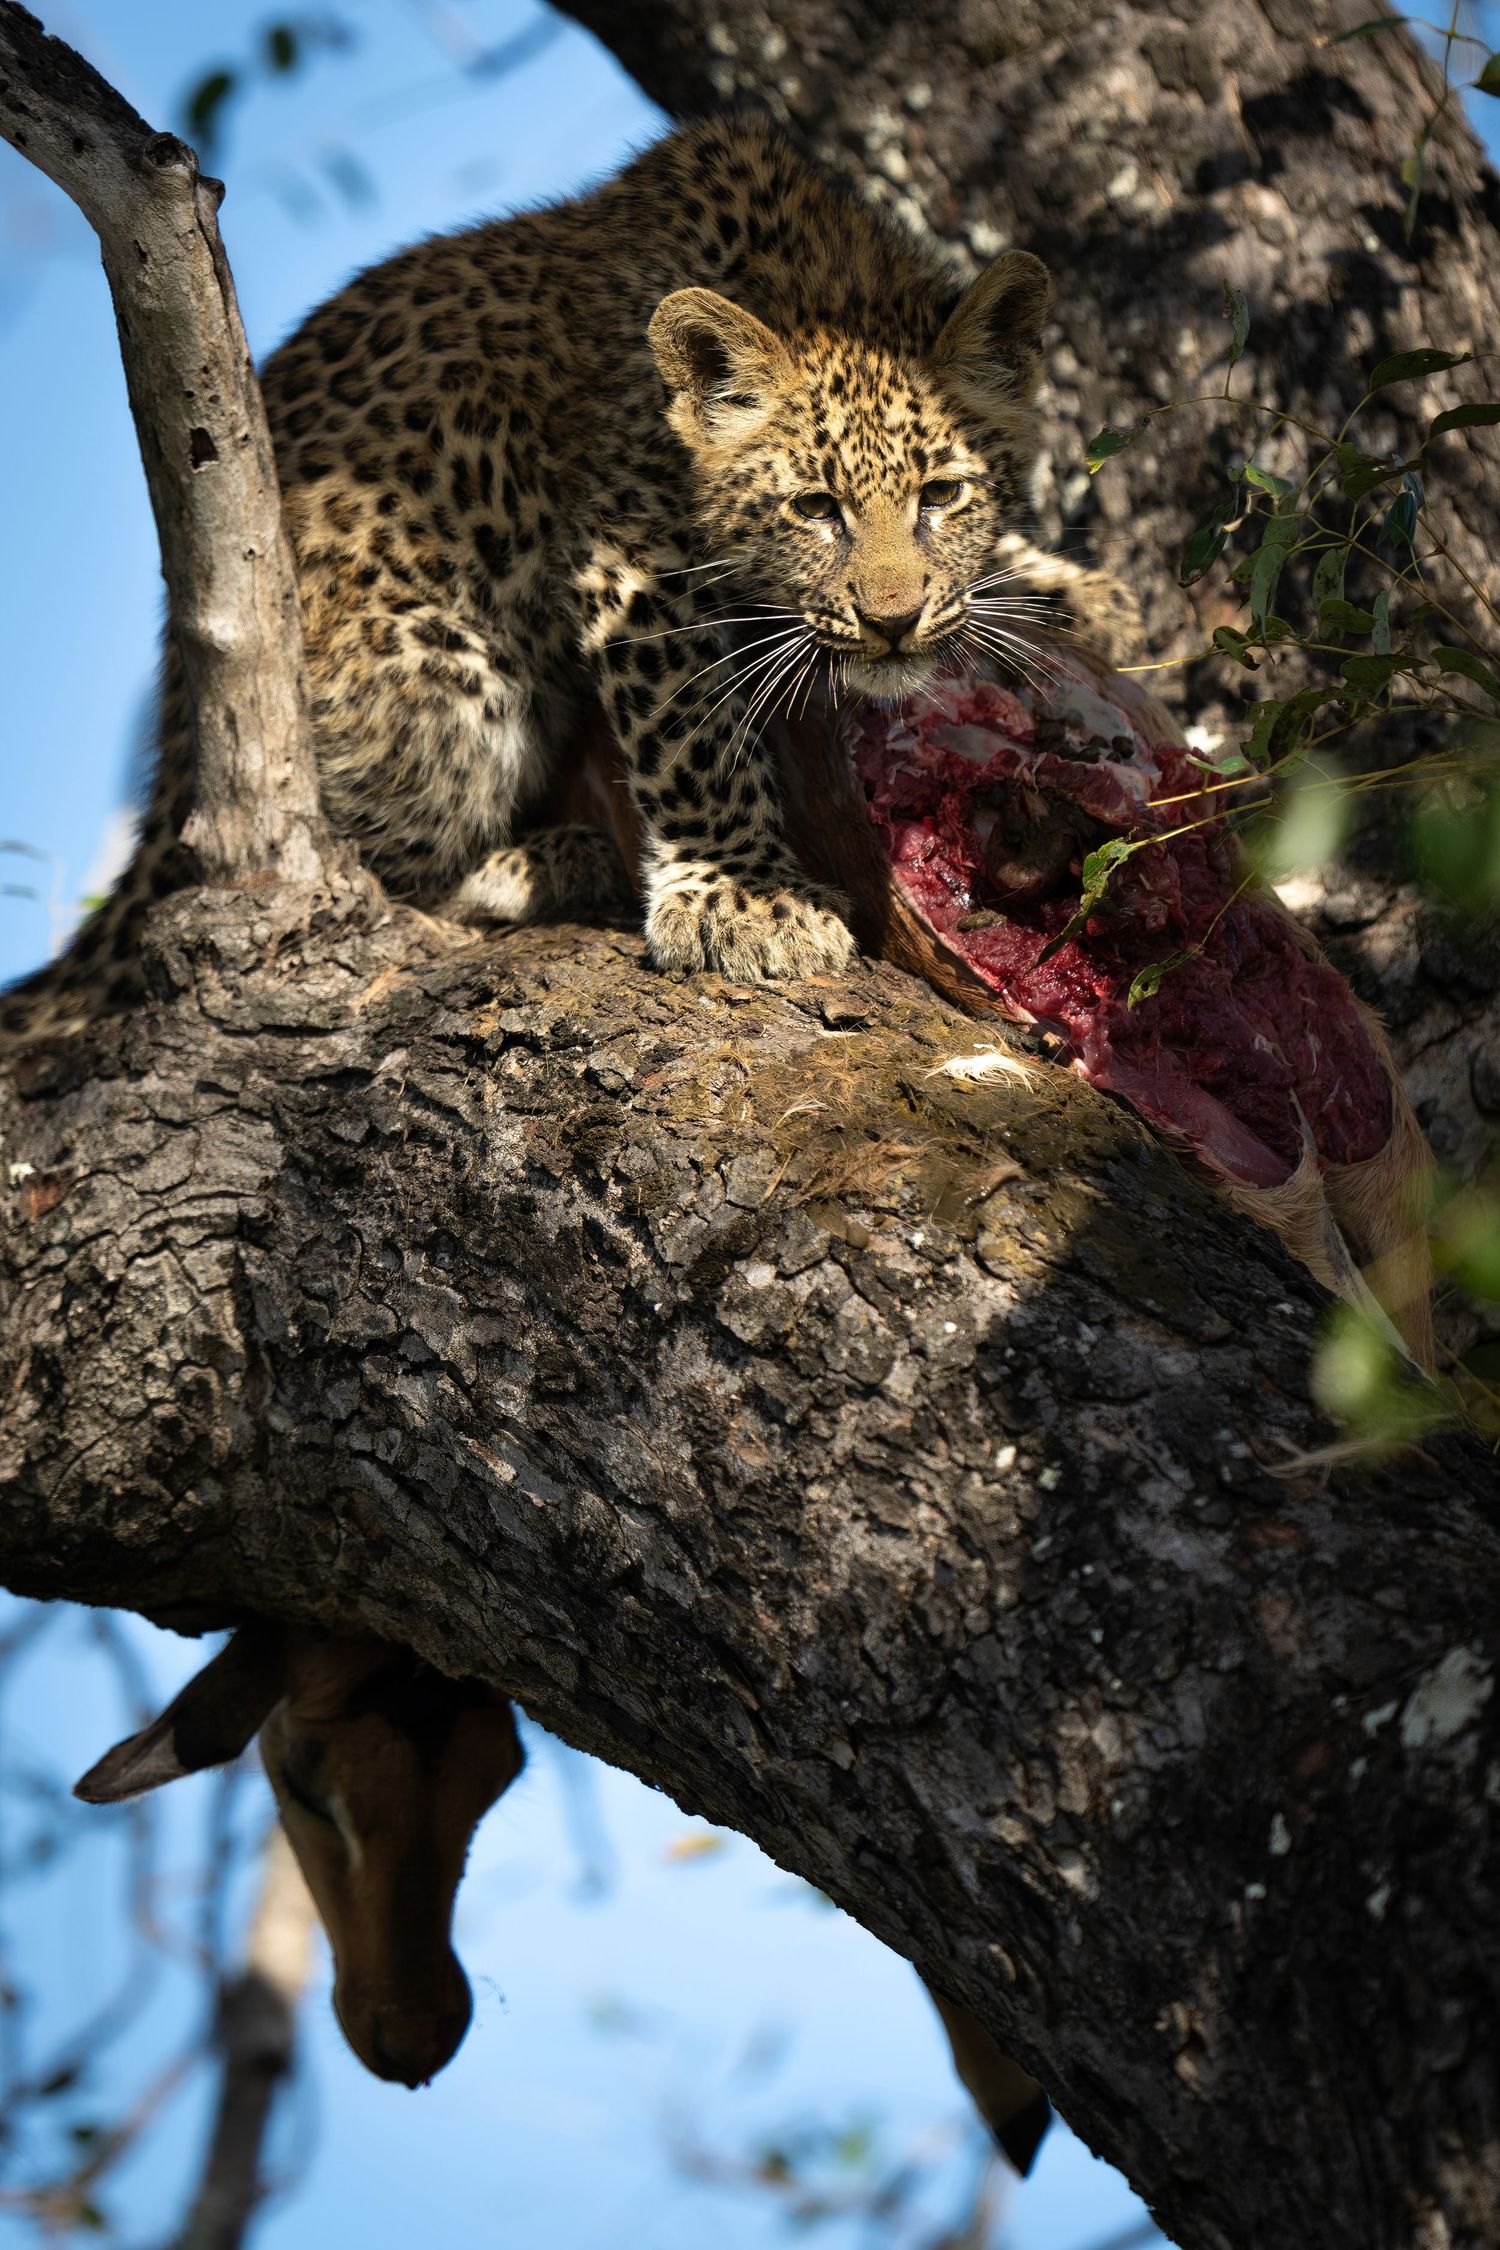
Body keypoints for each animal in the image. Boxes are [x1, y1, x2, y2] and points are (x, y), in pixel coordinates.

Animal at [0, 115, 1135, 1044]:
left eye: (942, 494)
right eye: (816, 509)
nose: (894, 622)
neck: (819, 276)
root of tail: (173, 754)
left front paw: (1075, 593)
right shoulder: (631, 558)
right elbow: (694, 734)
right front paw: (745, 898)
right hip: (445, 687)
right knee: (347, 877)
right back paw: (543, 864)